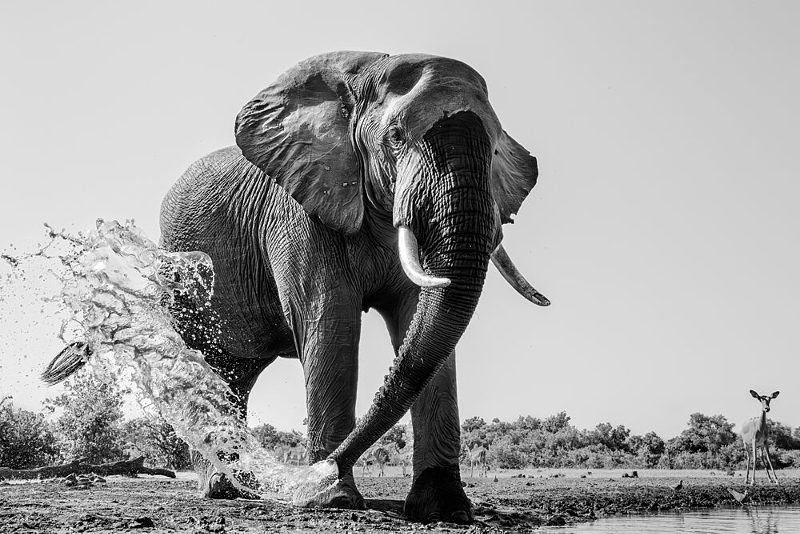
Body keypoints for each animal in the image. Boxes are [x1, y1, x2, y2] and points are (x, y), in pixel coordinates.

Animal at [46, 51, 550, 523]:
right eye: (396, 138)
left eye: (495, 150)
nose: (315, 473)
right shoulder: (301, 210)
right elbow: (331, 324)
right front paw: (333, 498)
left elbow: (424, 325)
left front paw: (445, 510)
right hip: (182, 280)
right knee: (212, 367)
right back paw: (222, 490)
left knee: (236, 375)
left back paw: (238, 484)